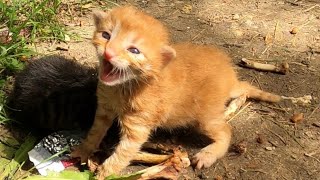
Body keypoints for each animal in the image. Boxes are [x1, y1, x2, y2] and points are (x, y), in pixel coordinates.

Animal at [70, 5, 280, 179]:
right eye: (106, 35)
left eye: (134, 50)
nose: (108, 53)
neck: (125, 86)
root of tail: (231, 78)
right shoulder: (104, 109)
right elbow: (95, 132)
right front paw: (83, 151)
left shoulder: (138, 126)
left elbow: (122, 153)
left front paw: (104, 173)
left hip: (206, 117)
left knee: (226, 131)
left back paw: (208, 154)